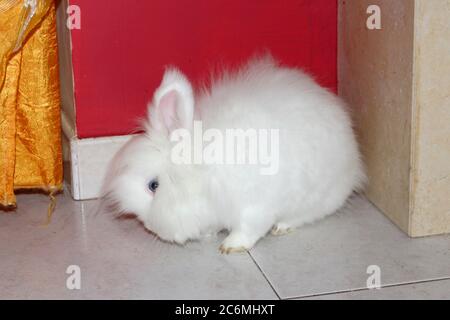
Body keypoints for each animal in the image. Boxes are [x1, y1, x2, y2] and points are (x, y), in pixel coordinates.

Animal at [103, 55, 368, 255]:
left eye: (153, 186)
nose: (150, 227)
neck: (202, 172)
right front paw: (209, 234)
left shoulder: (254, 205)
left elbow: (248, 228)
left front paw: (230, 246)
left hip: (317, 197)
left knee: (307, 215)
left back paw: (282, 227)